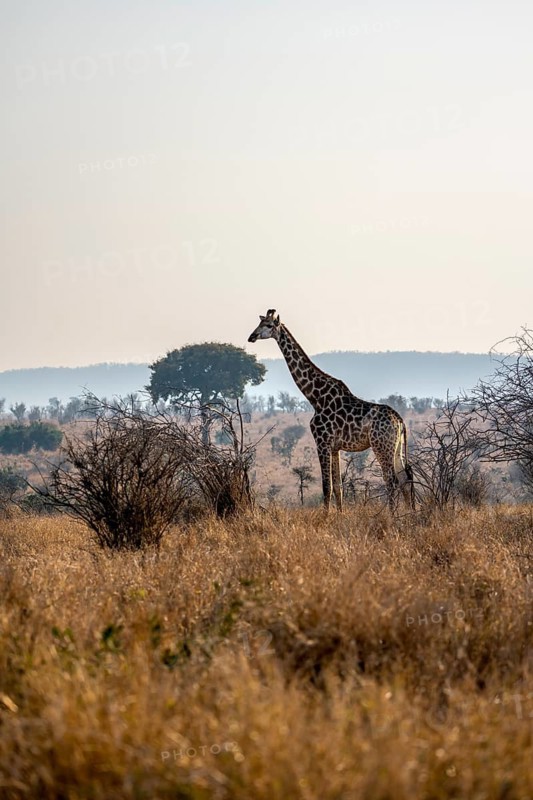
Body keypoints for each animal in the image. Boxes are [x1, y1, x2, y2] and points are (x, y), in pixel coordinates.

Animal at [248, 309, 414, 511]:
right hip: (395, 447)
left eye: (269, 325)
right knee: (404, 478)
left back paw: (392, 514)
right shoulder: (335, 447)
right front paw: (340, 515)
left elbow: (326, 487)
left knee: (391, 480)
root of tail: (400, 421)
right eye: (260, 323)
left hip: (381, 445)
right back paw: (408, 515)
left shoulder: (322, 442)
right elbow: (338, 487)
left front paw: (325, 517)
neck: (315, 397)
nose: (251, 336)